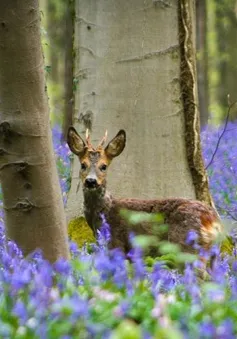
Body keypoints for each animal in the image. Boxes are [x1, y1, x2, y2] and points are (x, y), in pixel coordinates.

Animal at [67, 127, 222, 255]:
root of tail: (213, 220)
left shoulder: (116, 242)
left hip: (186, 243)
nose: (91, 181)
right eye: (83, 165)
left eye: (103, 166)